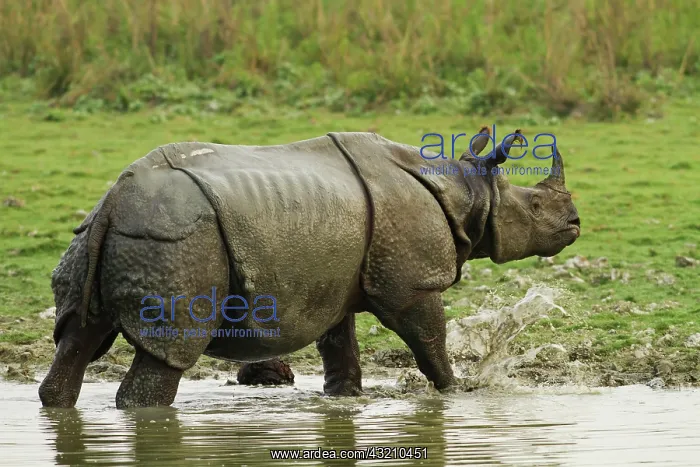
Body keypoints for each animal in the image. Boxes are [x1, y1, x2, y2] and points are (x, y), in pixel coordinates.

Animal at [38, 127, 580, 408]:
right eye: (534, 206)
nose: (575, 224)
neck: (465, 189)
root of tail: (117, 200)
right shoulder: (411, 283)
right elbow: (429, 337)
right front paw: (457, 391)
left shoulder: (334, 279)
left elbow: (338, 341)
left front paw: (345, 399)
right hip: (178, 241)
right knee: (170, 350)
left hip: (105, 235)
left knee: (78, 337)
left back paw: (57, 401)